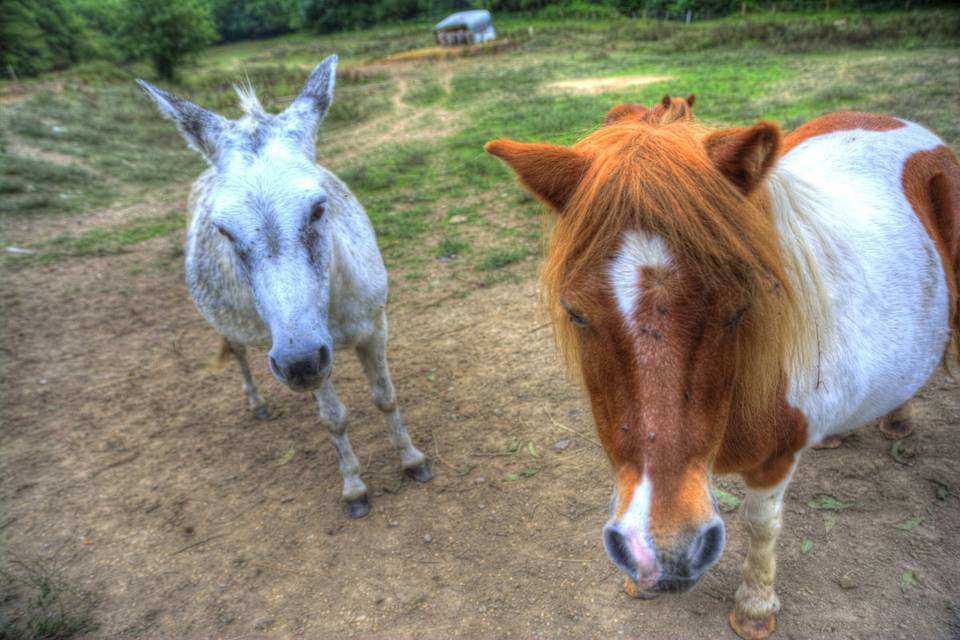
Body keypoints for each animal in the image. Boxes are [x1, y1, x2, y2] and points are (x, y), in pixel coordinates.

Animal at [492, 112, 956, 636]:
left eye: (738, 308)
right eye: (575, 313)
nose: (663, 554)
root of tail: (892, 121)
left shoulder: (777, 458)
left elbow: (762, 524)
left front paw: (755, 607)